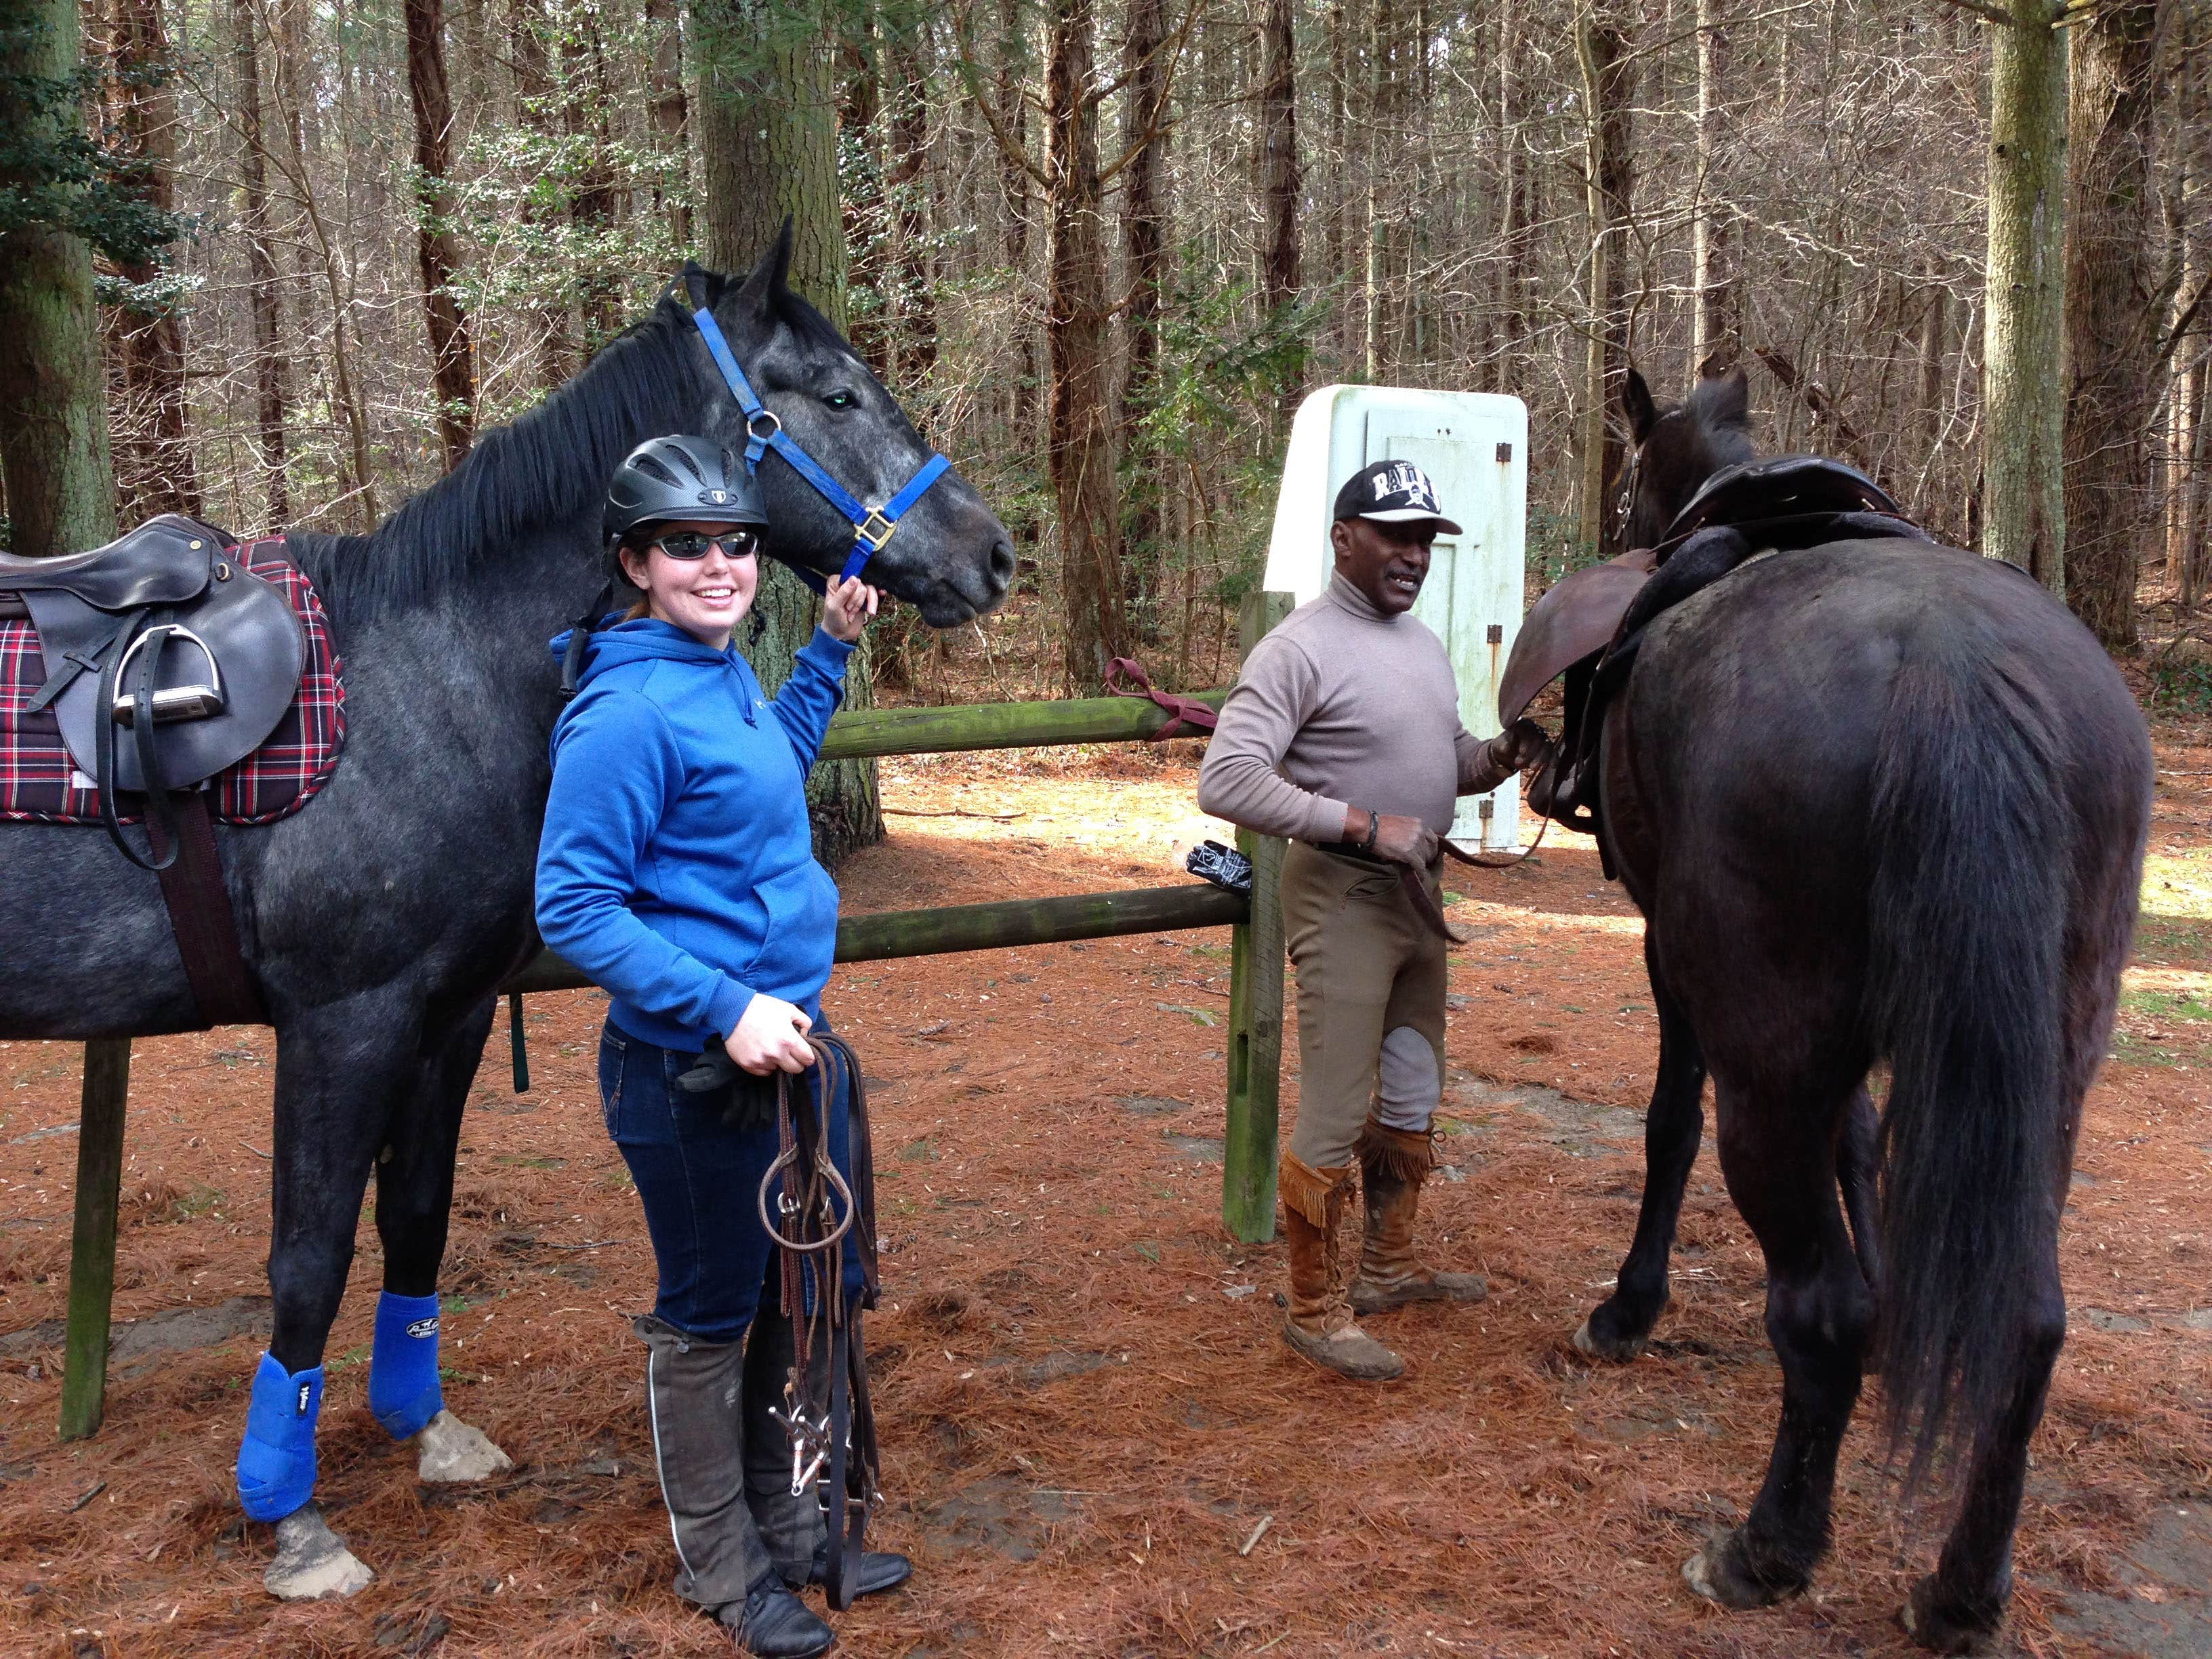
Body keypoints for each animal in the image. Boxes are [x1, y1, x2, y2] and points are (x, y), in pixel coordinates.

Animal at [0, 231, 1012, 1601]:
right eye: (839, 394)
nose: (992, 552)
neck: (428, 682)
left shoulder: (450, 1013)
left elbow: (415, 1217)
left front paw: (426, 1430)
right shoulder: (342, 1024)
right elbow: (309, 1255)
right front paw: (291, 1518)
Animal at [1557, 367, 2141, 1654]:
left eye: (1626, 488)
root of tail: (1953, 670)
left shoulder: (1675, 963)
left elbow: (1669, 1126)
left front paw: (1629, 1310)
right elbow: (1866, 1145)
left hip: (1766, 1067)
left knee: (1814, 1303)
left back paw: (1767, 1547)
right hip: (2048, 1066)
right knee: (2029, 1320)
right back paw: (1961, 1589)